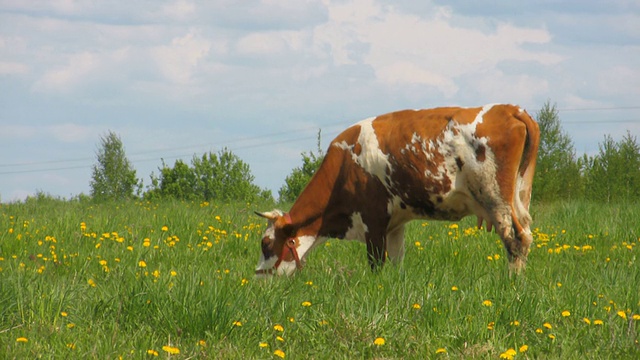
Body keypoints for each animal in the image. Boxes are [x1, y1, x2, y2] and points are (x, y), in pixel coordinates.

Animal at [255, 102, 540, 278]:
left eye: (266, 243)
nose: (258, 276)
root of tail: (509, 109)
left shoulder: (373, 221)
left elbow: (376, 265)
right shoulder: (394, 225)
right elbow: (395, 263)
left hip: (496, 199)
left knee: (515, 239)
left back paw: (511, 282)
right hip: (518, 198)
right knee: (526, 234)